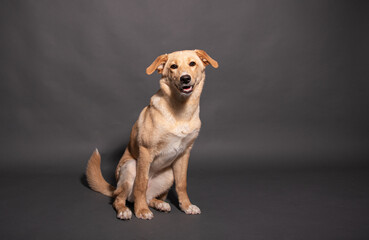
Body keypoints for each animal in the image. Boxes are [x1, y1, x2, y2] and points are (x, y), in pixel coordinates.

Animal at [85, 48, 218, 219]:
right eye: (173, 66)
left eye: (192, 63)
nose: (185, 78)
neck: (181, 112)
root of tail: (114, 188)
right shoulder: (146, 151)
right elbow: (141, 183)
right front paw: (141, 210)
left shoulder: (184, 154)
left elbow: (182, 184)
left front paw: (187, 206)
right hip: (130, 167)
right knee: (121, 198)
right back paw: (126, 210)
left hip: (169, 175)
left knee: (150, 198)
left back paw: (160, 204)